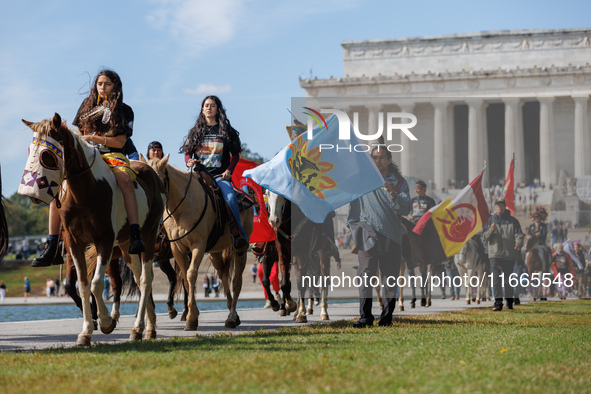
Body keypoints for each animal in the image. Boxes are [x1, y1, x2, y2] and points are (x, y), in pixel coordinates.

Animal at [20, 114, 164, 344]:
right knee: (140, 280)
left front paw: (106, 322)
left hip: (148, 237)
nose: (30, 194)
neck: (86, 193)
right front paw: (86, 331)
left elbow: (96, 284)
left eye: (47, 156)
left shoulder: (104, 240)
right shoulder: (74, 243)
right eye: (29, 150)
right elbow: (83, 285)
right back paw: (145, 328)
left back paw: (139, 328)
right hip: (126, 247)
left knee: (145, 279)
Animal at [149, 154, 253, 330]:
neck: (181, 208)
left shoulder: (198, 245)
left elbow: (191, 274)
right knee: (224, 277)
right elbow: (184, 279)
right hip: (215, 252)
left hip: (241, 248)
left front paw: (191, 318)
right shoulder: (178, 249)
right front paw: (191, 314)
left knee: (236, 281)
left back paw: (232, 317)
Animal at [268, 191, 332, 324]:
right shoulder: (283, 252)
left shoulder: (303, 253)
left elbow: (302, 284)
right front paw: (290, 306)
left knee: (323, 280)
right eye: (267, 193)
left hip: (323, 252)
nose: (274, 220)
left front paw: (301, 315)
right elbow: (286, 283)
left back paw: (323, 312)